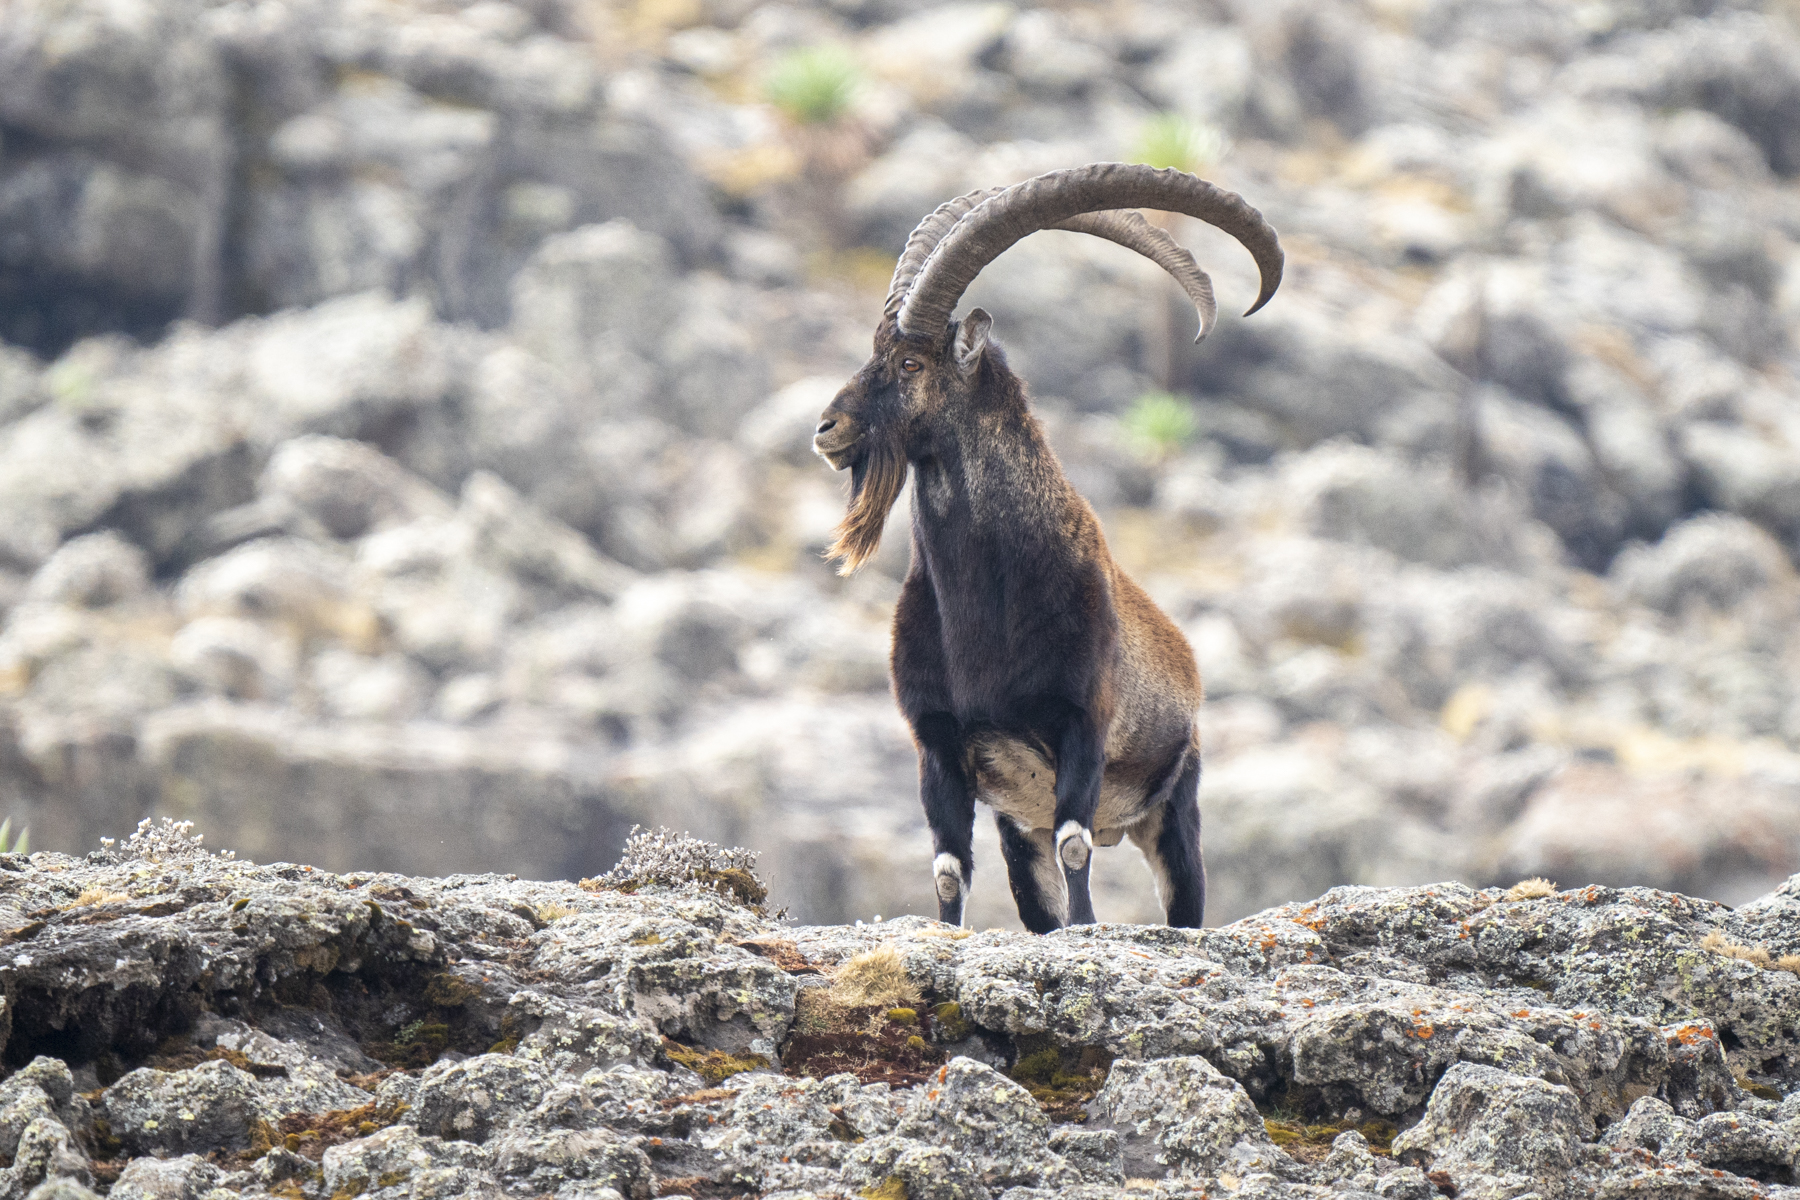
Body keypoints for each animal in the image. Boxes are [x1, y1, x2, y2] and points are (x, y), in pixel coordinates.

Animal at [810, 161, 1288, 928]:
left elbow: (1075, 844)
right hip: (1017, 829)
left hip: (1174, 808)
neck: (985, 602)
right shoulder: (938, 744)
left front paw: (1087, 929)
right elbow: (949, 870)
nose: (827, 429)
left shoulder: (1082, 726)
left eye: (911, 363)